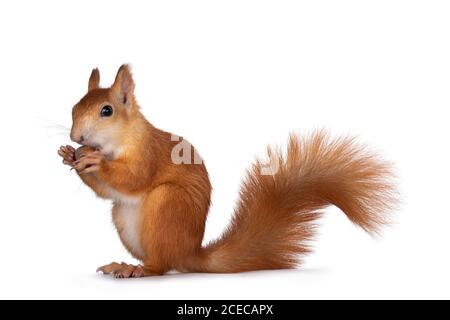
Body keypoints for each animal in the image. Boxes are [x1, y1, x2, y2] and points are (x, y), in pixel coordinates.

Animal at [57, 64, 398, 278]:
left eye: (107, 111)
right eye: (74, 107)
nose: (76, 137)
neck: (122, 140)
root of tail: (189, 252)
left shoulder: (148, 155)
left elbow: (133, 178)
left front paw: (93, 161)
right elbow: (106, 190)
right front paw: (69, 156)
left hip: (167, 204)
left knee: (161, 265)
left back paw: (136, 269)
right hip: (125, 216)